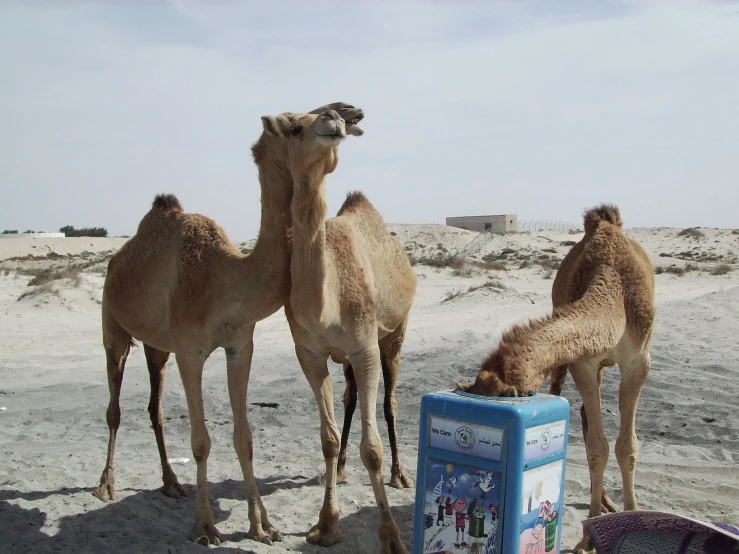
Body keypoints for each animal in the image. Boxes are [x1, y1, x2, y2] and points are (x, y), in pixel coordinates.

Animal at [94, 102, 366, 544]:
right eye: (295, 126)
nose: (342, 115)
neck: (225, 278)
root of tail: (117, 260)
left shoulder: (240, 345)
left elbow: (245, 438)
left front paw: (263, 524)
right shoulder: (190, 351)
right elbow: (201, 442)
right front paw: (205, 526)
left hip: (157, 346)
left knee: (155, 407)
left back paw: (171, 483)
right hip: (111, 322)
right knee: (114, 404)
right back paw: (106, 484)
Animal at [262, 109, 416, 552]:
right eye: (294, 128)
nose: (333, 117)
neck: (324, 306)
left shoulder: (365, 348)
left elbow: (373, 449)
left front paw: (391, 536)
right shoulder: (310, 355)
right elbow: (327, 439)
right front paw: (326, 524)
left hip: (395, 335)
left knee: (389, 402)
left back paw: (400, 474)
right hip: (349, 356)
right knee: (349, 398)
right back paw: (346, 466)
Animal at [460, 204, 656, 552]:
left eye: (502, 393)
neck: (613, 283)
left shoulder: (639, 361)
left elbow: (627, 445)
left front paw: (632, 516)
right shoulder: (584, 363)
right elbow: (597, 447)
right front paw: (588, 537)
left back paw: (607, 501)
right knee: (584, 416)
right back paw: (601, 501)